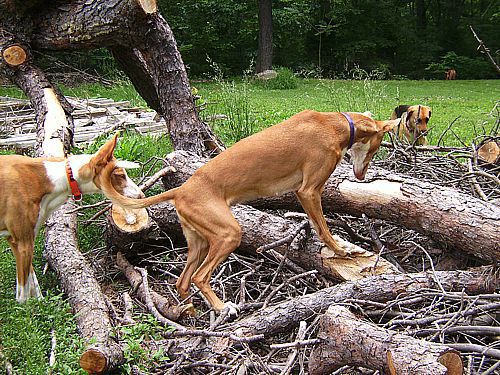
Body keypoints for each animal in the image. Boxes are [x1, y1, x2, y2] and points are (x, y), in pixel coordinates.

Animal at [0, 134, 144, 304]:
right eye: (121, 175)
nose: (141, 195)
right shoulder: (23, 242)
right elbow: (23, 296)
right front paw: (29, 309)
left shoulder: (19, 240)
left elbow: (33, 284)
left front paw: (41, 303)